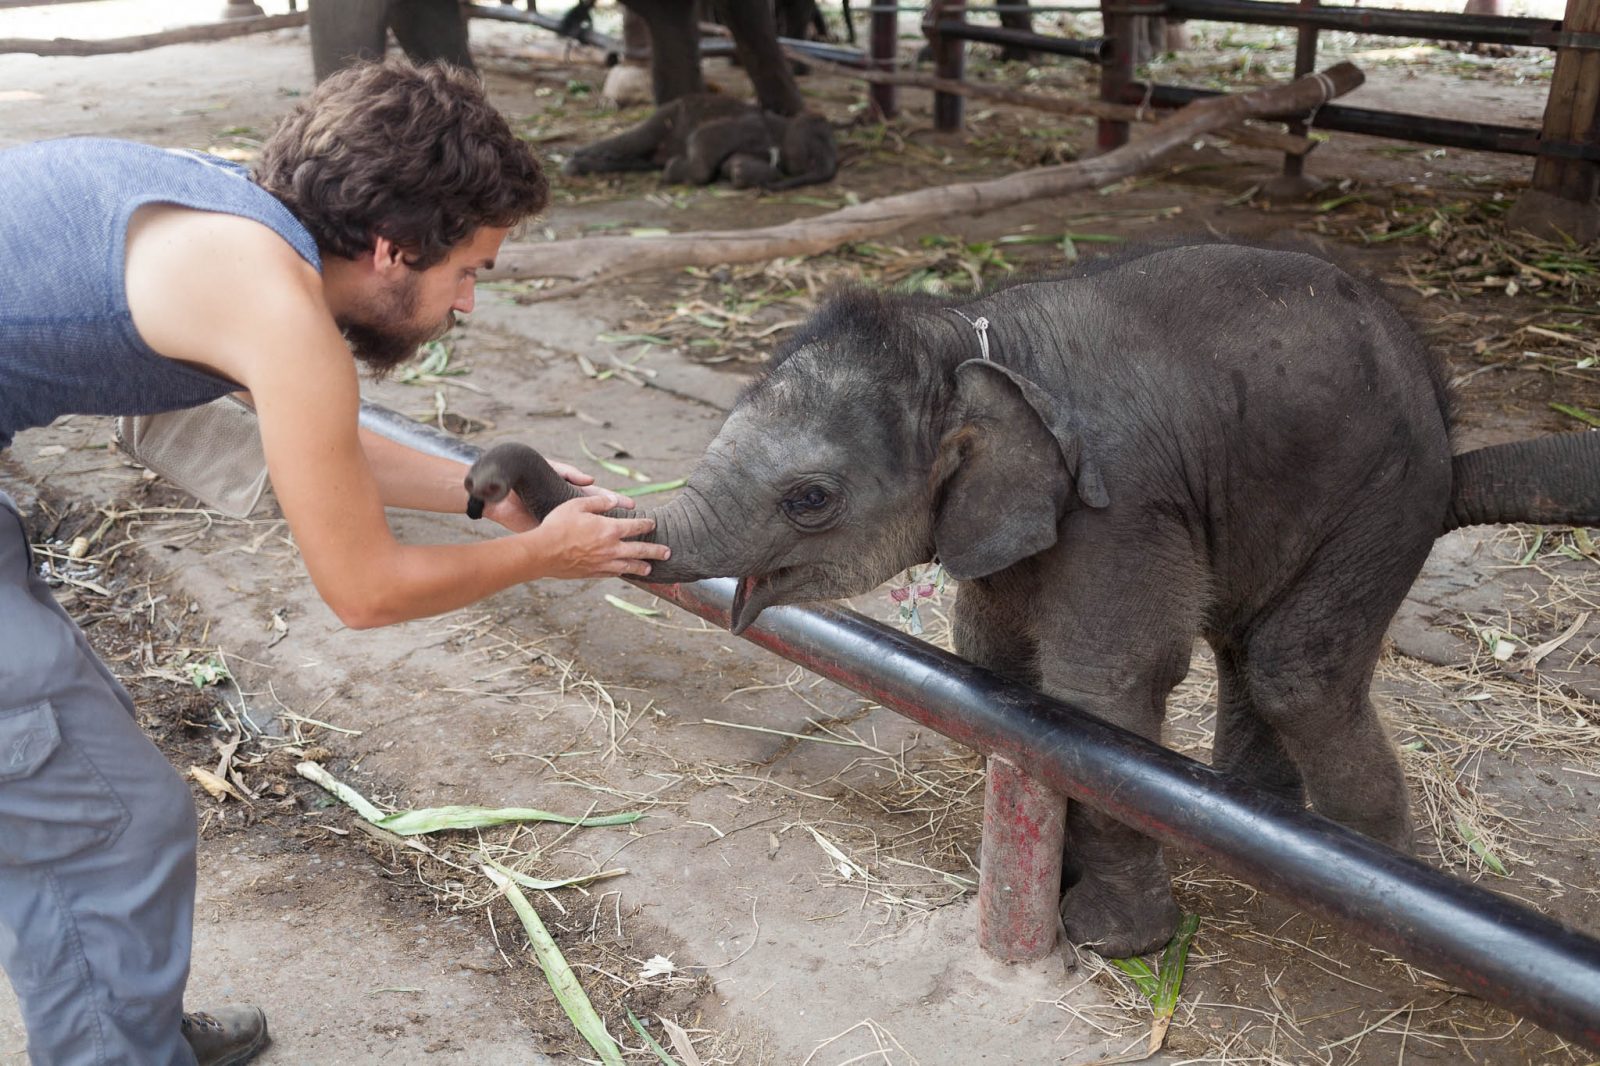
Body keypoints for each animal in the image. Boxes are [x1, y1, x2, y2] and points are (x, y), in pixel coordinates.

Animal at [563, 92, 838, 191]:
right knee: (633, 140)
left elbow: (735, 165)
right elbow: (704, 138)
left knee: (641, 158)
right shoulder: (746, 126)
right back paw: (573, 160)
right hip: (665, 116)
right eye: (815, 147)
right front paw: (674, 170)